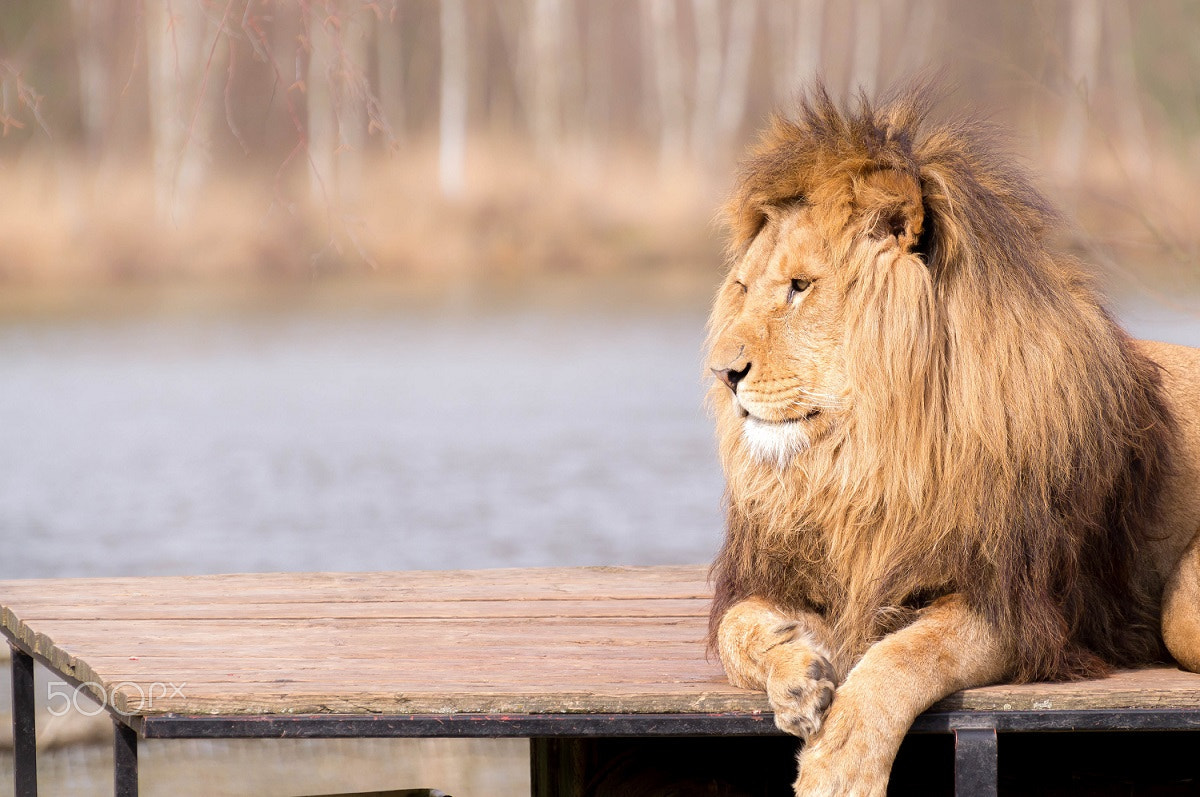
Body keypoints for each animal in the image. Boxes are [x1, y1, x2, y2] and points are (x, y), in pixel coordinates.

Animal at [705, 84, 1200, 796]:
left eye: (801, 287)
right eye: (743, 286)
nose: (723, 372)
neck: (872, 458)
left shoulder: (1016, 604)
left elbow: (904, 657)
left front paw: (838, 770)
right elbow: (738, 630)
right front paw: (798, 676)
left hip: (1181, 607)